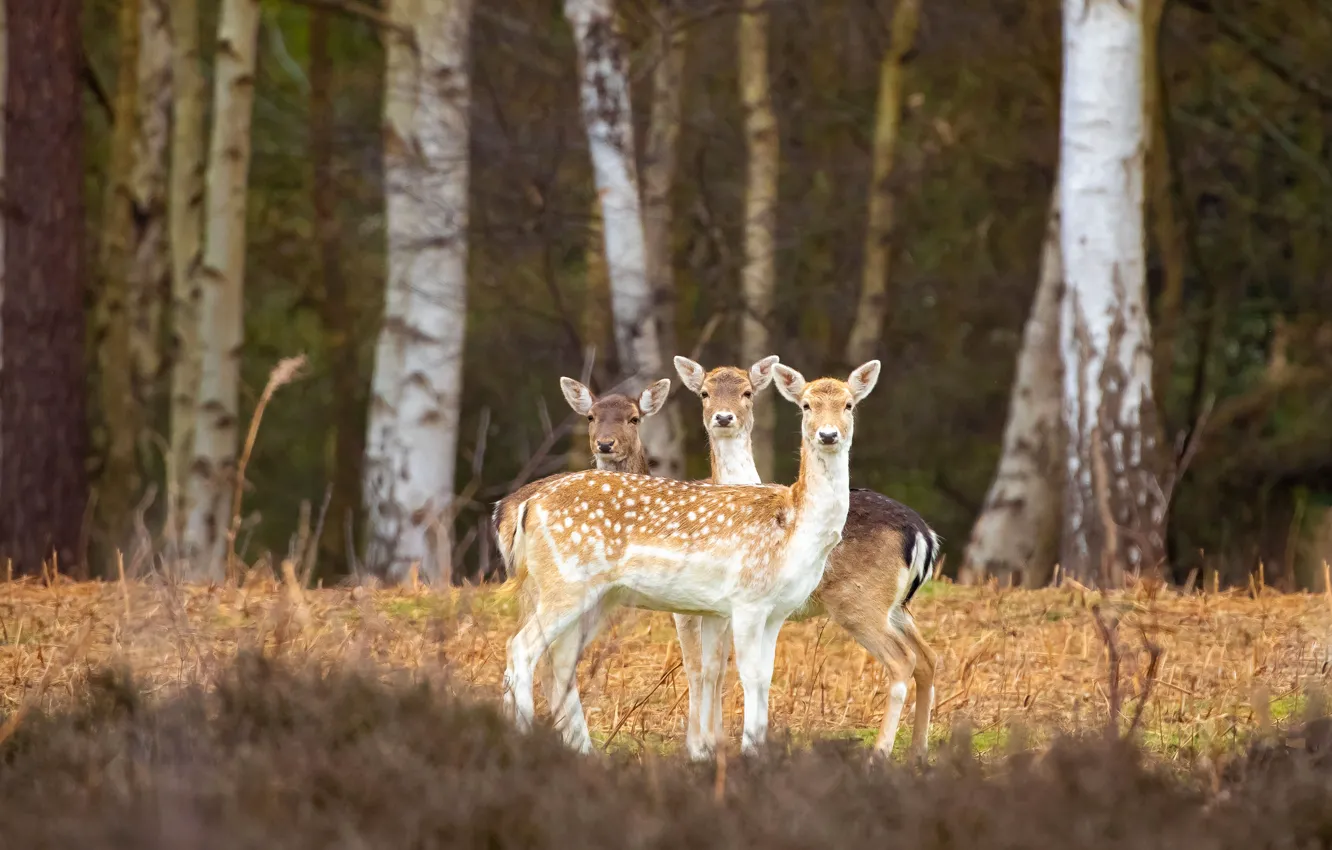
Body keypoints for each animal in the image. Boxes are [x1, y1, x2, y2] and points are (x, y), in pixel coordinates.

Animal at [500, 357, 884, 751]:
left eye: (849, 405)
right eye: (806, 405)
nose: (827, 435)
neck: (795, 528)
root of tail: (529, 505)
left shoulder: (776, 610)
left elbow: (764, 677)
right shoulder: (746, 601)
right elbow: (747, 676)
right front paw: (743, 751)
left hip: (595, 596)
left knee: (560, 660)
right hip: (564, 582)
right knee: (520, 649)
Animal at [671, 357, 943, 762]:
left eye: (747, 392)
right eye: (704, 392)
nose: (723, 417)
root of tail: (924, 534)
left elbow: (702, 667)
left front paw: (702, 749)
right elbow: (717, 667)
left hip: (858, 601)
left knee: (902, 661)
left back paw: (878, 754)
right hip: (898, 607)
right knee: (927, 659)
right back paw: (918, 754)